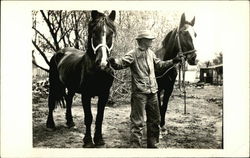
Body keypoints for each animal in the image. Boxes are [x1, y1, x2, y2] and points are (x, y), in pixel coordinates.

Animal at [46, 10, 116, 148]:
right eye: (94, 32)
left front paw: (99, 139)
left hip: (71, 87)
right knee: (51, 102)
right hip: (54, 83)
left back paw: (70, 122)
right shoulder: (86, 94)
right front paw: (88, 141)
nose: (103, 63)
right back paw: (50, 125)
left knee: (68, 100)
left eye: (111, 33)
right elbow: (88, 117)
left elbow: (99, 117)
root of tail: (59, 52)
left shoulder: (104, 94)